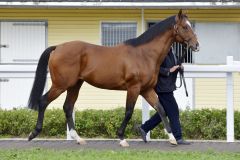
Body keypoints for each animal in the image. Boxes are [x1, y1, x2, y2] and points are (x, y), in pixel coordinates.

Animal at [27, 10, 199, 147]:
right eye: (185, 27)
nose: (196, 45)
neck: (143, 54)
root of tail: (57, 48)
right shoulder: (134, 88)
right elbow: (128, 112)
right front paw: (122, 138)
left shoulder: (147, 90)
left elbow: (161, 109)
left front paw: (172, 138)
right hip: (60, 85)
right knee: (43, 102)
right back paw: (33, 133)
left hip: (75, 85)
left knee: (68, 107)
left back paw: (78, 138)